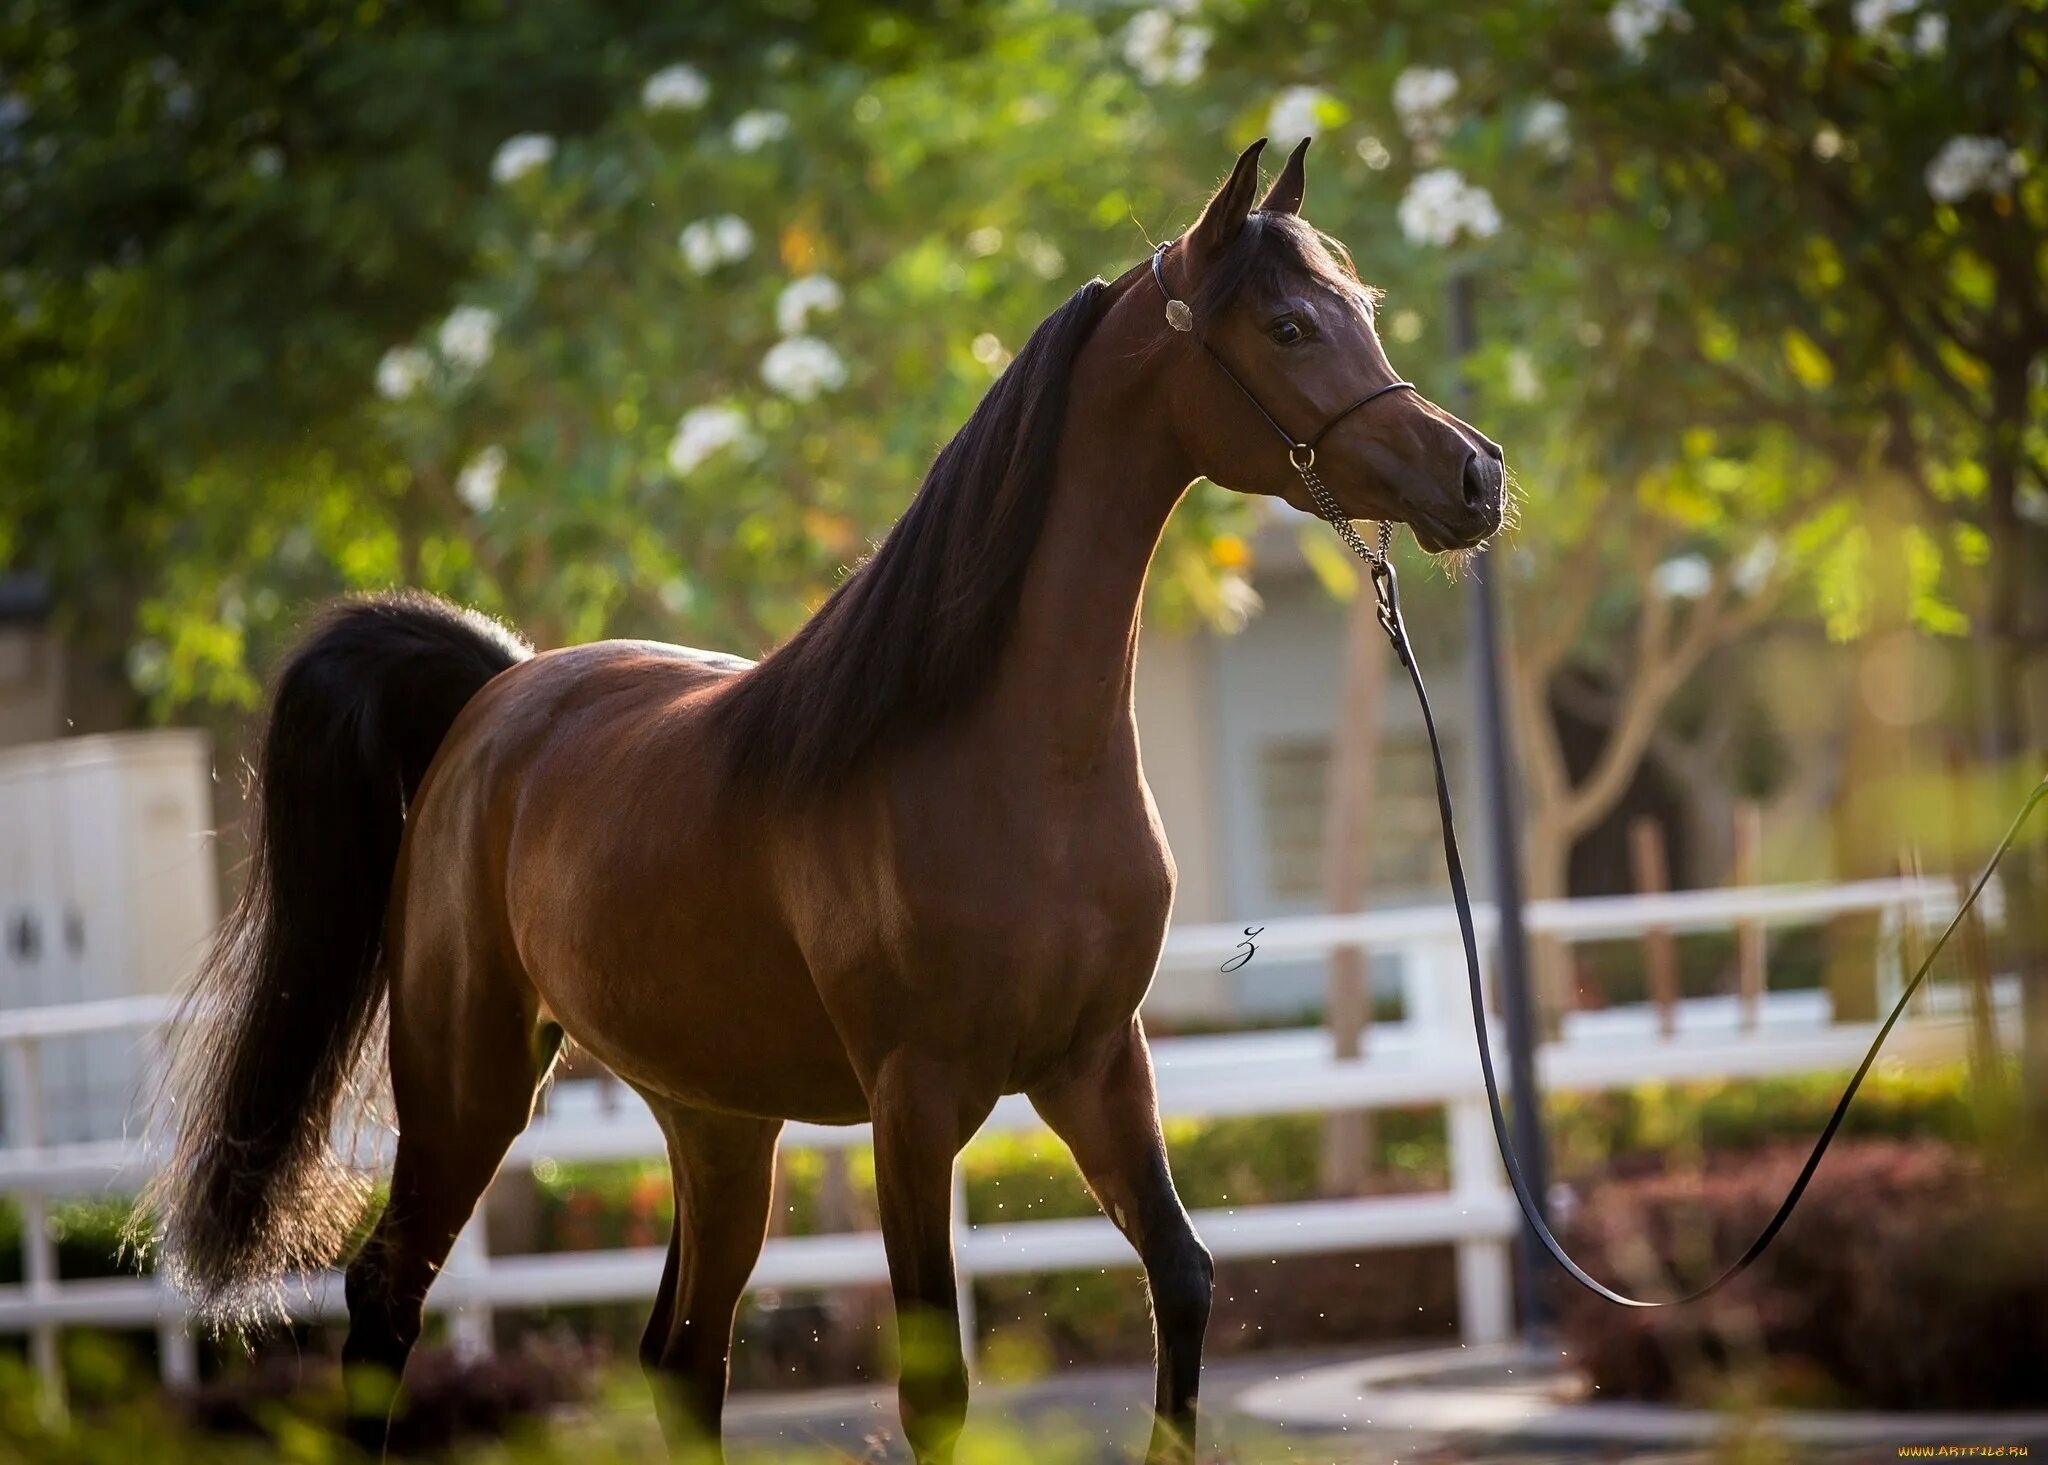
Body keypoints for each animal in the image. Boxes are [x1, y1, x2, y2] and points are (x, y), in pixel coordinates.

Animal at [148, 134, 1507, 1458]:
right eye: (1286, 326)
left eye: (1360, 310)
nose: (1475, 475)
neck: (1006, 761)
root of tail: (498, 692)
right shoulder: (914, 1103)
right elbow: (935, 1389)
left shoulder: (1095, 1064)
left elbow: (1180, 1281)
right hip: (466, 1080)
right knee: (386, 1304)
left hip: (715, 1119)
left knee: (681, 1357)